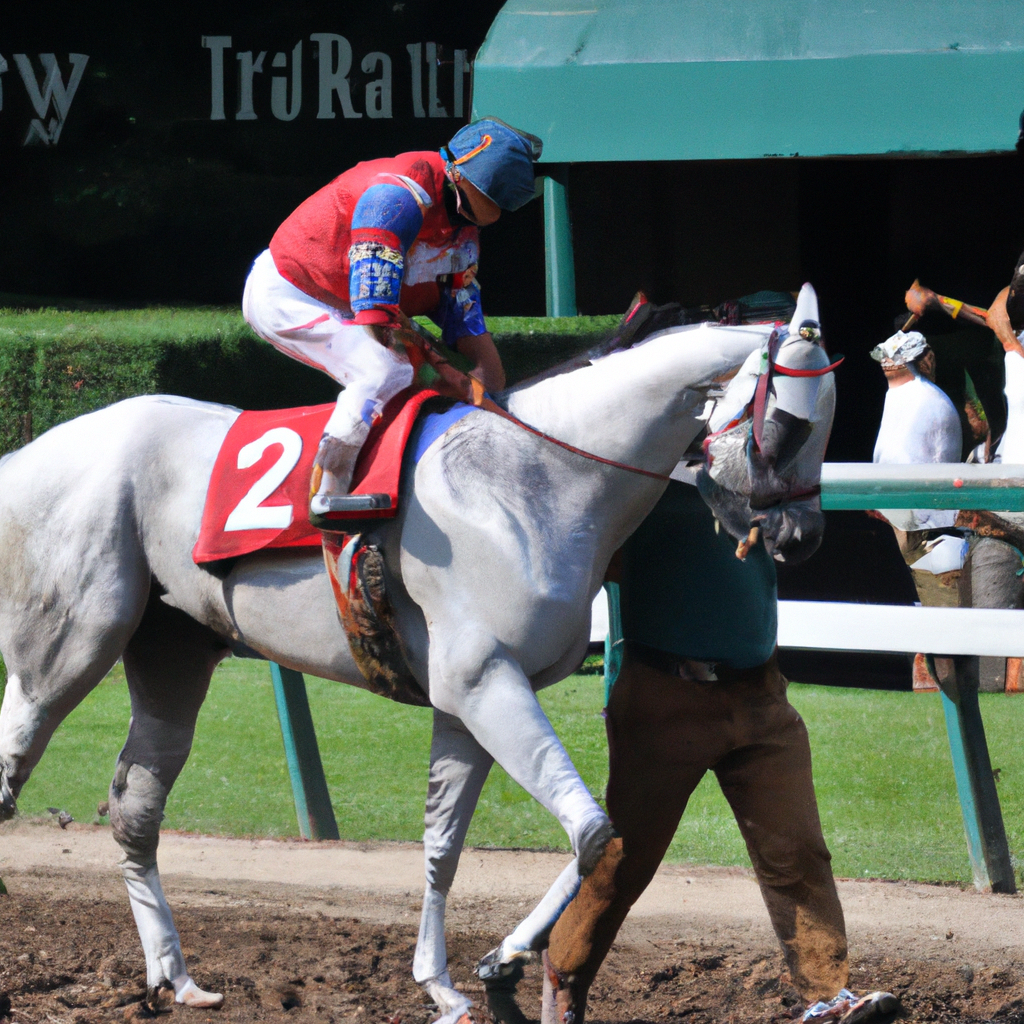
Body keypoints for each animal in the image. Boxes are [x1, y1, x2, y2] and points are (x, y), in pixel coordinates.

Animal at [0, 288, 831, 1024]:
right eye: (791, 426)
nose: (800, 538)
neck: (535, 477)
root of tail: (28, 454)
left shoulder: (469, 701)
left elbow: (443, 845)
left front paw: (445, 984)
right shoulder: (483, 681)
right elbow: (595, 831)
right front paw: (503, 958)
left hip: (170, 651)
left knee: (133, 806)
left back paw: (175, 979)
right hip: (66, 647)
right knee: (14, 769)